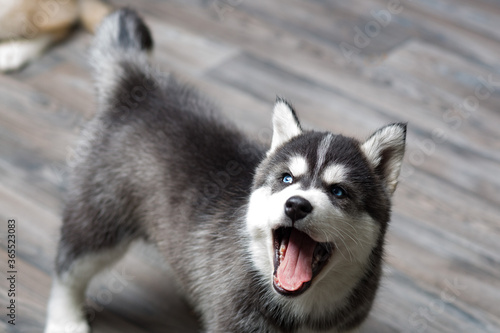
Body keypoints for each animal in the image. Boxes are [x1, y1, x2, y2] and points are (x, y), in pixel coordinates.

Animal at [45, 9, 406, 332]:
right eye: (286, 179)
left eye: (338, 191)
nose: (296, 205)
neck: (301, 306)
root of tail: (139, 85)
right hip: (100, 221)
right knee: (69, 269)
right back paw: (65, 318)